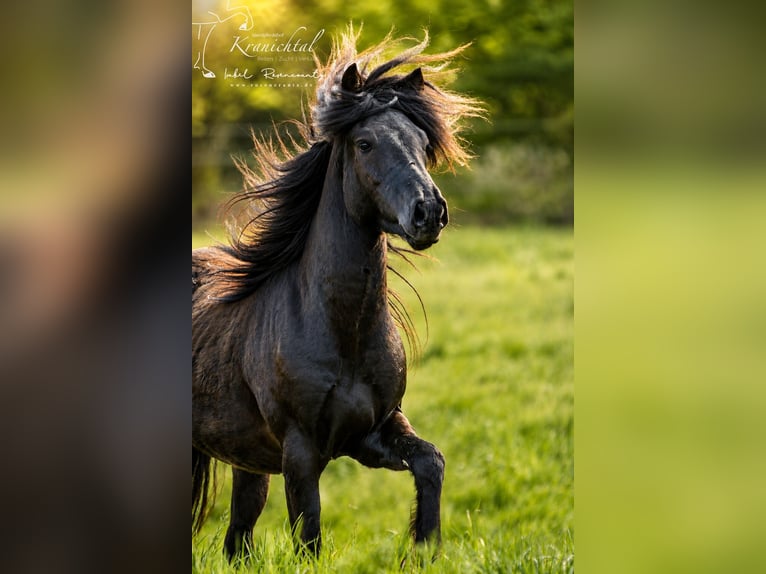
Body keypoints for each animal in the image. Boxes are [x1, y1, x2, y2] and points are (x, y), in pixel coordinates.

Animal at [192, 27, 482, 559]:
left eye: (422, 142)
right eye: (365, 143)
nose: (429, 212)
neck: (341, 332)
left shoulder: (373, 431)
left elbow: (431, 462)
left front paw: (423, 548)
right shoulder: (302, 452)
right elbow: (309, 535)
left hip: (247, 462)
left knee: (238, 537)